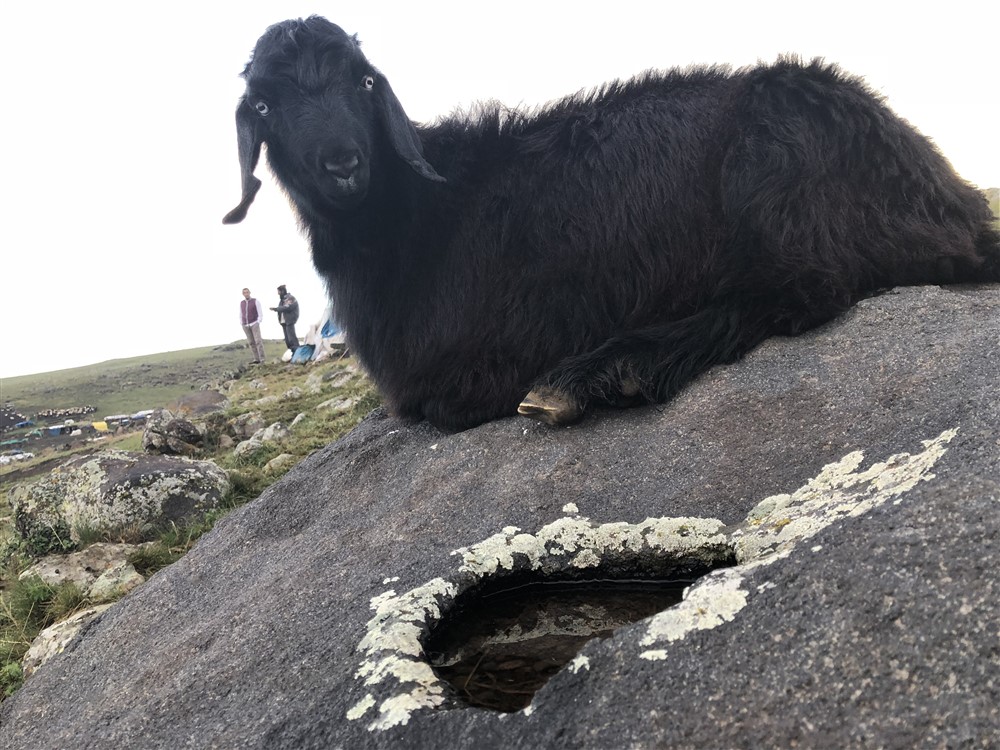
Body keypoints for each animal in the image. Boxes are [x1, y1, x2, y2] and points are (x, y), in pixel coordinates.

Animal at [227, 16, 1000, 428]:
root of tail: (956, 199)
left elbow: (450, 401)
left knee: (799, 290)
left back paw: (601, 372)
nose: (343, 164)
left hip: (779, 159)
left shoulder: (470, 368)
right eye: (263, 103)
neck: (416, 219)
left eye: (362, 81)